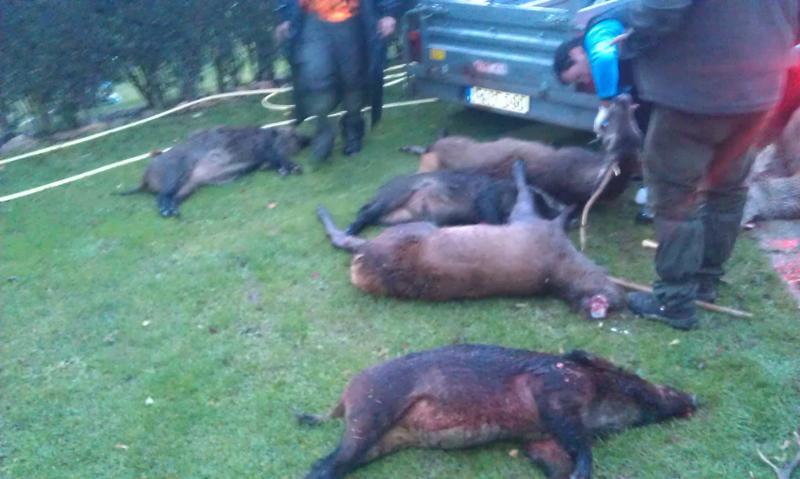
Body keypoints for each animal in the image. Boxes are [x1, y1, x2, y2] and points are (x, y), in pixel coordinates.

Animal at [119, 126, 309, 217]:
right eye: (291, 135)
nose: (306, 139)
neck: (267, 137)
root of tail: (144, 180)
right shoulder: (264, 150)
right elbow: (280, 159)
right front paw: (296, 169)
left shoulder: (263, 161)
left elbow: (273, 164)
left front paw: (286, 171)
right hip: (175, 174)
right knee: (161, 197)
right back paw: (168, 212)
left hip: (190, 186)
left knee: (173, 198)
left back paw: (175, 213)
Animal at [298, 344, 697, 479]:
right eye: (635, 380)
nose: (693, 397)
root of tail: (346, 392)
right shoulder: (554, 395)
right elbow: (581, 446)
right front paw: (583, 470)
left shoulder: (541, 440)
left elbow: (556, 460)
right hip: (374, 409)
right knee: (328, 463)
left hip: (386, 439)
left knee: (331, 461)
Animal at [345, 170, 565, 235]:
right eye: (549, 201)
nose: (568, 216)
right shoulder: (488, 195)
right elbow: (490, 212)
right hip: (395, 194)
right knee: (366, 211)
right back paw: (350, 230)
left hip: (399, 216)